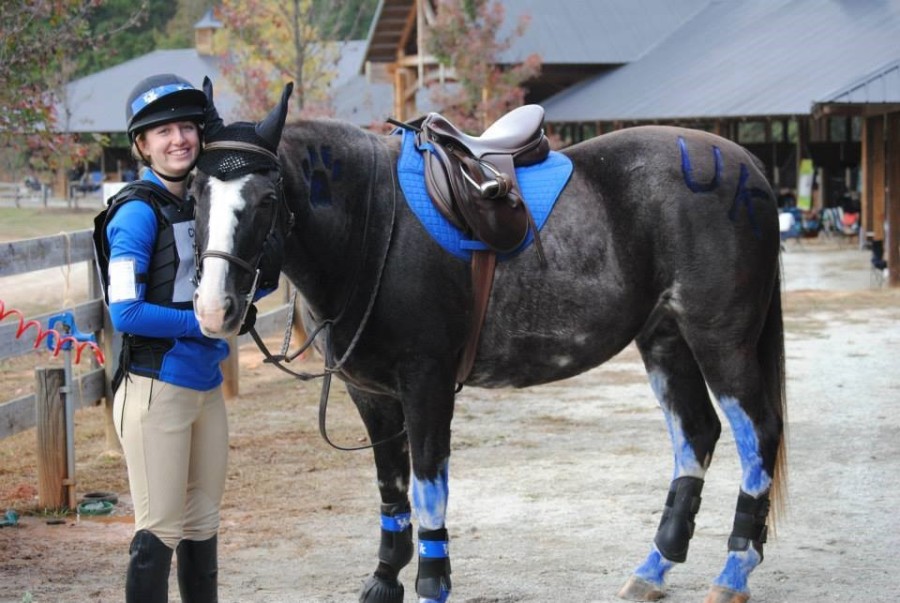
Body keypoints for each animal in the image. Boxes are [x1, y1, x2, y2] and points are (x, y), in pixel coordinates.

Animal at [191, 80, 786, 603]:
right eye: (195, 191)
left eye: (267, 198)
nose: (213, 308)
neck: (373, 221)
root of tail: (745, 163)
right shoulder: (372, 395)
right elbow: (391, 488)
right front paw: (384, 580)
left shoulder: (426, 384)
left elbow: (429, 491)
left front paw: (432, 585)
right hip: (665, 340)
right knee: (697, 434)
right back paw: (652, 570)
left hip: (720, 341)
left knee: (758, 436)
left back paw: (733, 574)